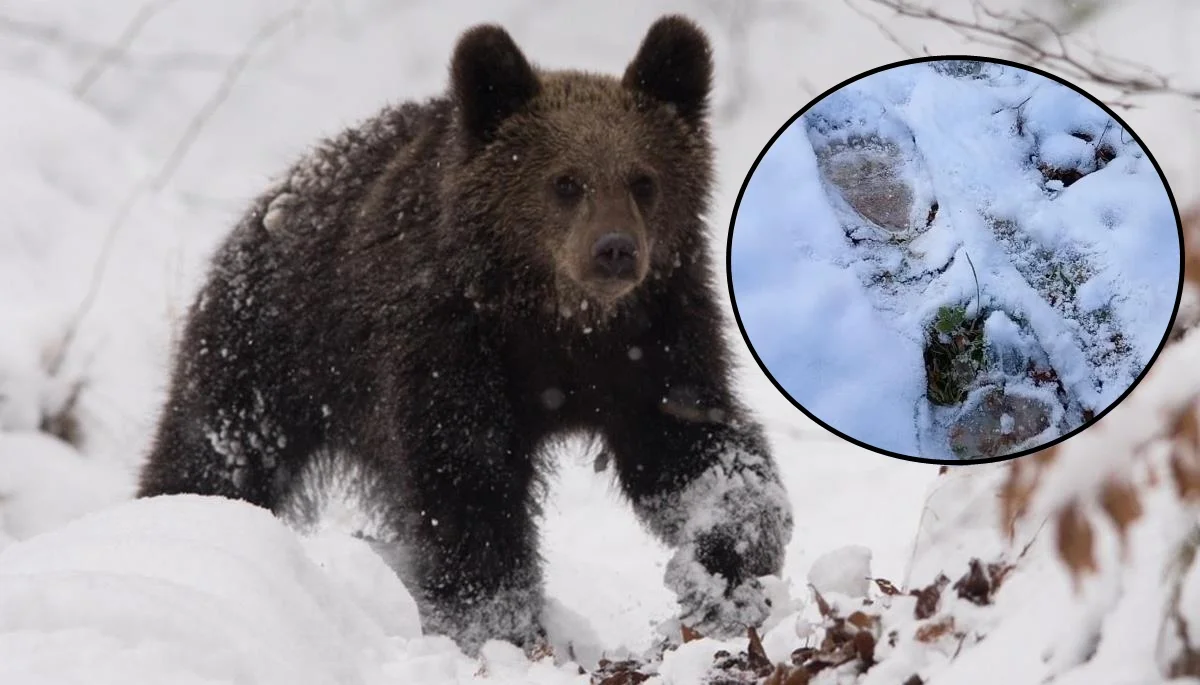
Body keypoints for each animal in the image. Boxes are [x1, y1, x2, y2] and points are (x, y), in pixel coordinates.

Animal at [140, 16, 792, 657]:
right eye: (565, 182)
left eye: (643, 180)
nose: (615, 250)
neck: (557, 320)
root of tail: (277, 194)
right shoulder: (448, 343)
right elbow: (465, 484)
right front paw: (500, 628)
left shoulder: (654, 340)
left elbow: (693, 449)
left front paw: (722, 574)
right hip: (272, 348)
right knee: (215, 451)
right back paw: (177, 516)